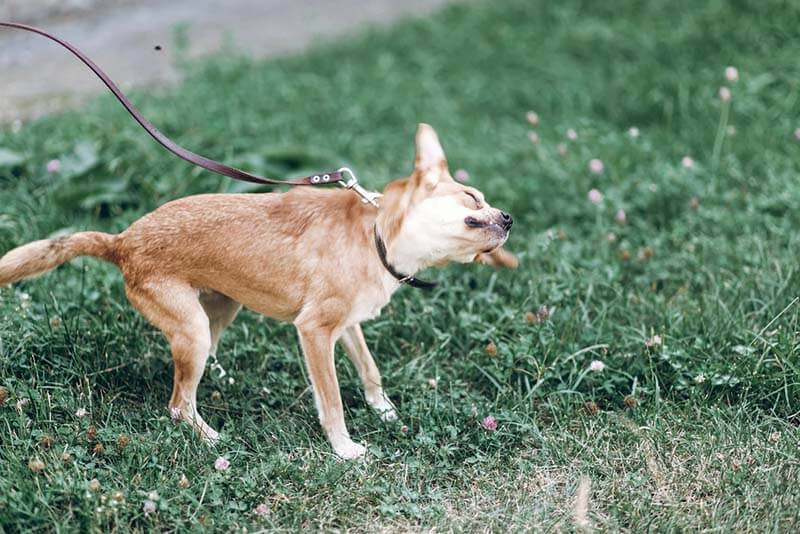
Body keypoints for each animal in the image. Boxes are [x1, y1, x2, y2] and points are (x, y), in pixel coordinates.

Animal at [0, 125, 512, 460]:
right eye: (473, 198)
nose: (508, 218)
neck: (375, 237)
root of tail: (122, 241)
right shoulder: (314, 333)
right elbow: (331, 401)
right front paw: (345, 449)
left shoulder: (345, 326)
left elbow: (370, 371)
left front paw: (384, 412)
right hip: (194, 330)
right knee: (177, 405)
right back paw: (210, 439)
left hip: (219, 313)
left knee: (189, 383)